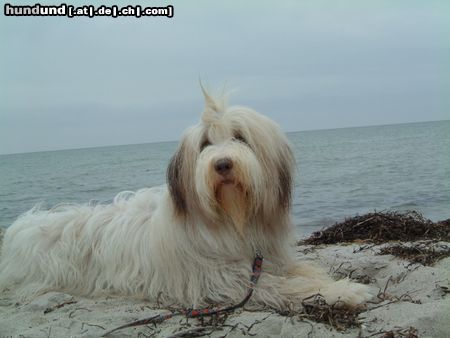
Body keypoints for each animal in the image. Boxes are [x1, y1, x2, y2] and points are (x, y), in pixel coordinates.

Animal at [0, 88, 372, 310]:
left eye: (240, 137)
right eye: (205, 144)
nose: (222, 164)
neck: (232, 219)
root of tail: (18, 228)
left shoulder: (268, 257)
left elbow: (304, 270)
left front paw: (332, 281)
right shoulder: (220, 280)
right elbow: (284, 286)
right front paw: (346, 291)